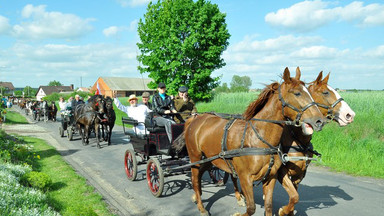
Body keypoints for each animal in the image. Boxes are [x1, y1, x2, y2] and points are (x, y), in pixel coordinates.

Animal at [183, 68, 324, 216]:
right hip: (195, 157)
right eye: (297, 93)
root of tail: (195, 119)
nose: (319, 121)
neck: (257, 139)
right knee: (195, 179)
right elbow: (251, 208)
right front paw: (239, 213)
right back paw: (201, 207)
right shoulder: (245, 178)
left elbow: (269, 205)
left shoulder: (271, 177)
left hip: (210, 159)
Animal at [276, 71, 354, 216]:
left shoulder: (299, 174)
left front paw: (288, 211)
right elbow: (294, 197)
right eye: (325, 92)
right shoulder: (281, 171)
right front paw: (283, 210)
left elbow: (294, 198)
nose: (350, 115)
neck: (296, 137)